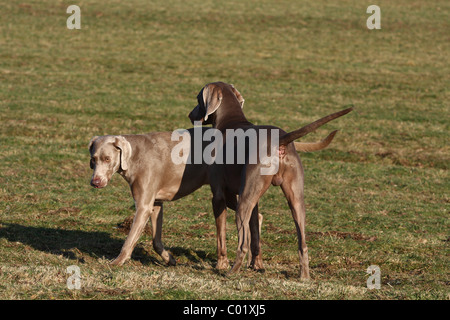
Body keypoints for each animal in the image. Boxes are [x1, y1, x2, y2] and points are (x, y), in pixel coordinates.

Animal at [188, 82, 354, 278]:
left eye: (198, 98)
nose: (190, 115)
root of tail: (280, 140)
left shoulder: (219, 195)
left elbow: (222, 236)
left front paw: (221, 264)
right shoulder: (252, 199)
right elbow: (255, 233)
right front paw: (257, 264)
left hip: (243, 202)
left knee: (242, 244)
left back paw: (231, 271)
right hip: (295, 199)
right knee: (302, 243)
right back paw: (304, 276)